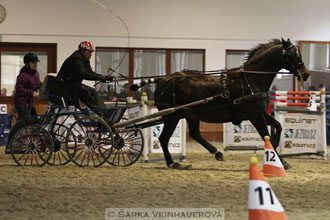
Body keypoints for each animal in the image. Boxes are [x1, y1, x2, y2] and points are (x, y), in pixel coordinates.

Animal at [152, 38, 310, 168]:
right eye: (291, 54)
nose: (306, 74)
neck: (251, 80)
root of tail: (164, 80)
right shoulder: (256, 116)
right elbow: (267, 137)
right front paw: (280, 160)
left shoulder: (261, 114)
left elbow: (278, 126)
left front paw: (279, 152)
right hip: (172, 116)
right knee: (164, 138)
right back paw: (172, 163)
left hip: (190, 115)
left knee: (195, 134)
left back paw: (217, 153)